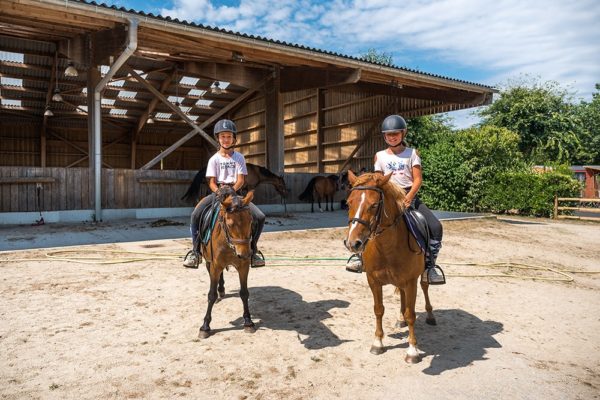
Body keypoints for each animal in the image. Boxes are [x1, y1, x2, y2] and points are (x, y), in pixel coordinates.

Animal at [200, 188, 256, 338]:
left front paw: (248, 322)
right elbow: (211, 294)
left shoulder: (244, 266)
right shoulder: (214, 266)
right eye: (230, 224)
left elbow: (244, 293)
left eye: (251, 221)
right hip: (208, 262)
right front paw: (205, 326)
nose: (244, 254)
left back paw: (222, 290)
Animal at [342, 170, 436, 364]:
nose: (352, 243)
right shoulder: (373, 280)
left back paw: (430, 315)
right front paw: (378, 343)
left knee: (425, 287)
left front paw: (412, 351)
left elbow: (411, 314)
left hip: (420, 276)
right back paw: (400, 319)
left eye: (374, 204)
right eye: (348, 203)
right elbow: (379, 310)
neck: (388, 248)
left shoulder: (411, 282)